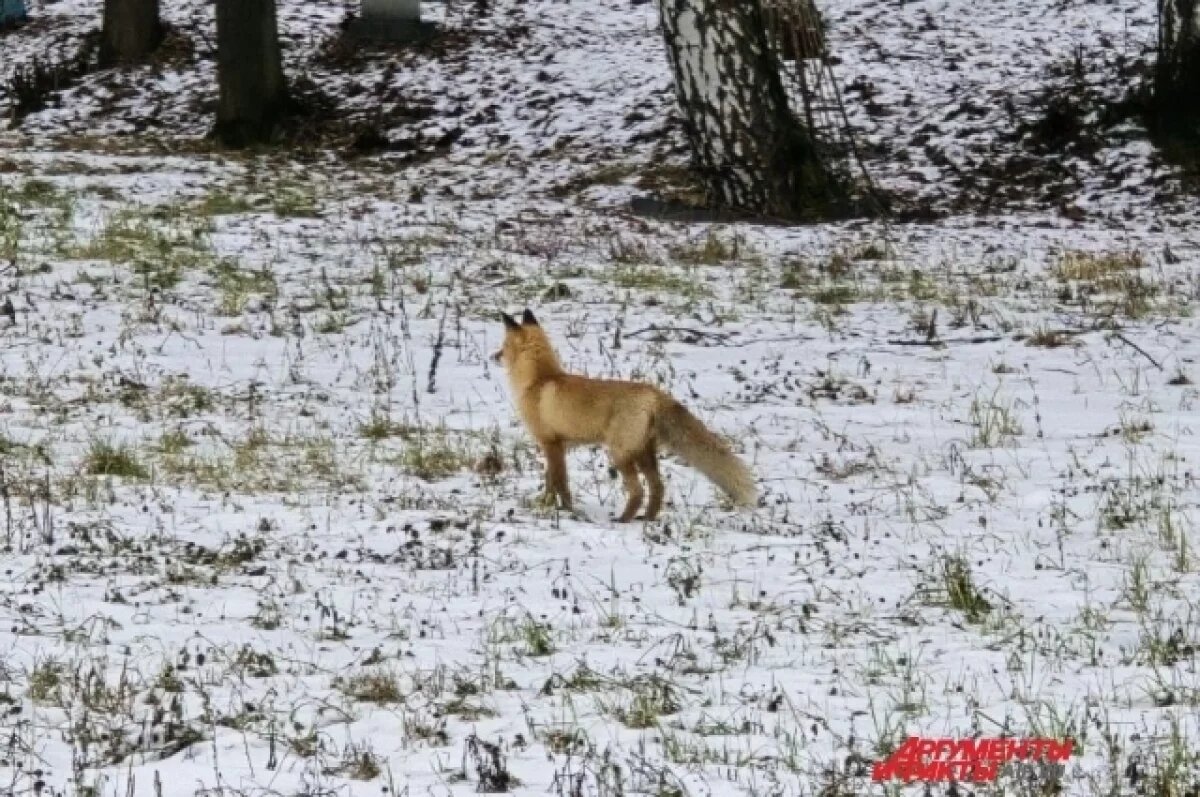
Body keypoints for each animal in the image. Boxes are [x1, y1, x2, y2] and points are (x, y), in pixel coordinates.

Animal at [492, 308, 756, 522]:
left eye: (502, 346)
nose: (492, 356)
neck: (540, 380)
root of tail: (653, 392)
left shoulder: (551, 444)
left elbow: (560, 483)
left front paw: (565, 512)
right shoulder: (557, 446)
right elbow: (550, 482)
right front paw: (545, 505)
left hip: (620, 454)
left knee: (638, 491)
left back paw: (623, 520)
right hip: (644, 453)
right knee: (658, 487)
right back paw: (647, 519)